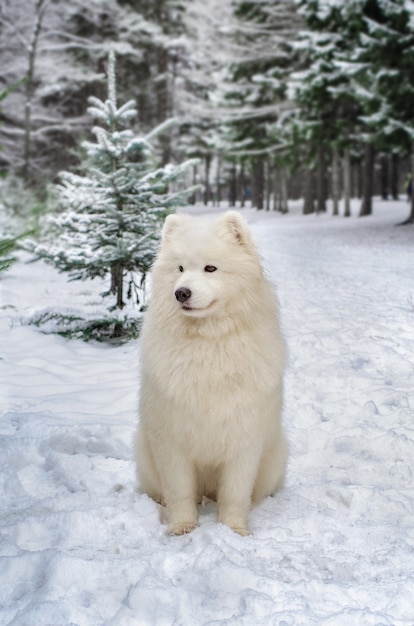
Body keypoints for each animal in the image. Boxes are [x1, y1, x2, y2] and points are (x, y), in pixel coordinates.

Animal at [134, 210, 286, 532]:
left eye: (210, 268)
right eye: (180, 268)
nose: (181, 292)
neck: (209, 345)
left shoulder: (244, 439)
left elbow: (235, 493)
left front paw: (234, 529)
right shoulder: (171, 440)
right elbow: (179, 490)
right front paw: (181, 527)